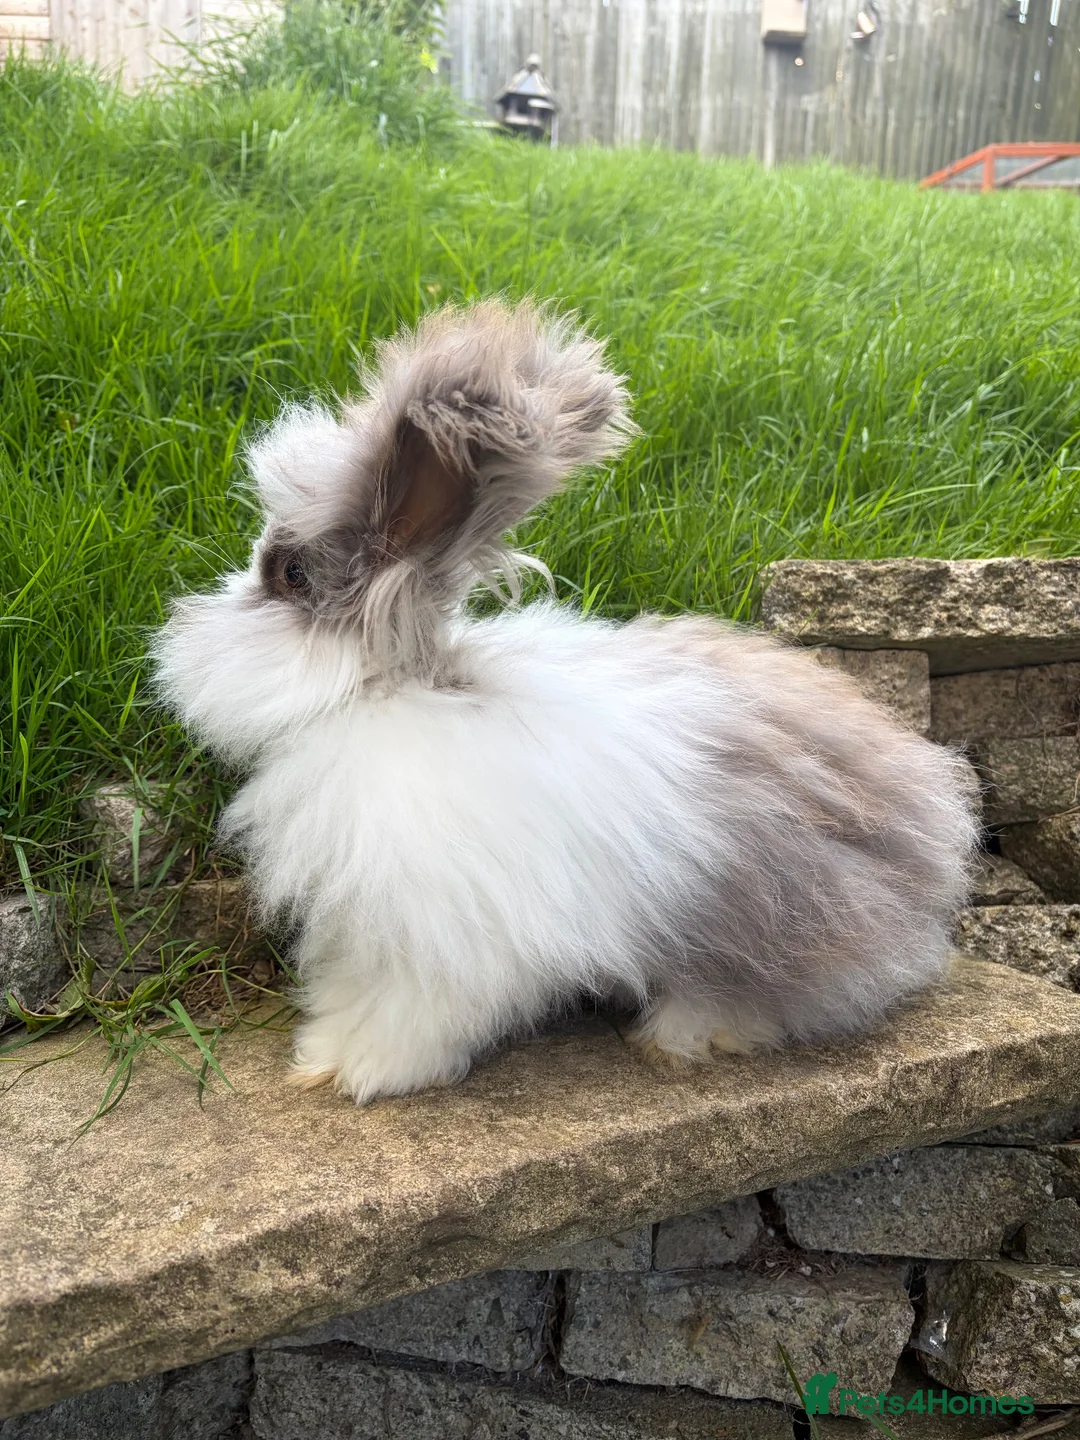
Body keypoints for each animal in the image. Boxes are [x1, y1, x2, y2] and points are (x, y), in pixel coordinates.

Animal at [153, 299, 979, 1105]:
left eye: (288, 574)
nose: (182, 627)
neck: (390, 690)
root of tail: (935, 829)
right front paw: (321, 1053)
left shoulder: (445, 937)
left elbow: (414, 1012)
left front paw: (370, 1071)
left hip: (789, 908)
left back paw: (688, 1033)